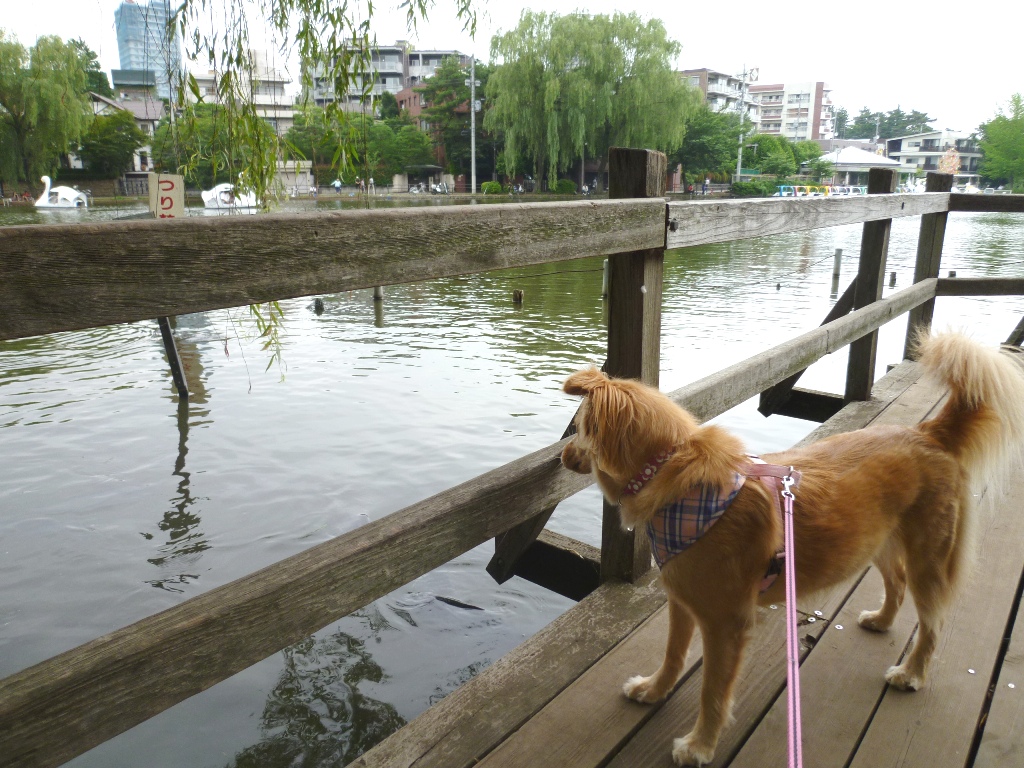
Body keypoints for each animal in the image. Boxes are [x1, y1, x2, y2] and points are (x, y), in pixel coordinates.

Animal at [561, 333, 1024, 765]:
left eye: (578, 427)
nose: (562, 454)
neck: (679, 484)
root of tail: (929, 433)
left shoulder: (725, 623)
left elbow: (713, 693)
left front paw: (699, 746)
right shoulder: (682, 601)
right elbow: (673, 654)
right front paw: (654, 689)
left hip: (930, 558)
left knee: (932, 622)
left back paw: (911, 673)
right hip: (877, 541)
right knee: (896, 581)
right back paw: (881, 620)